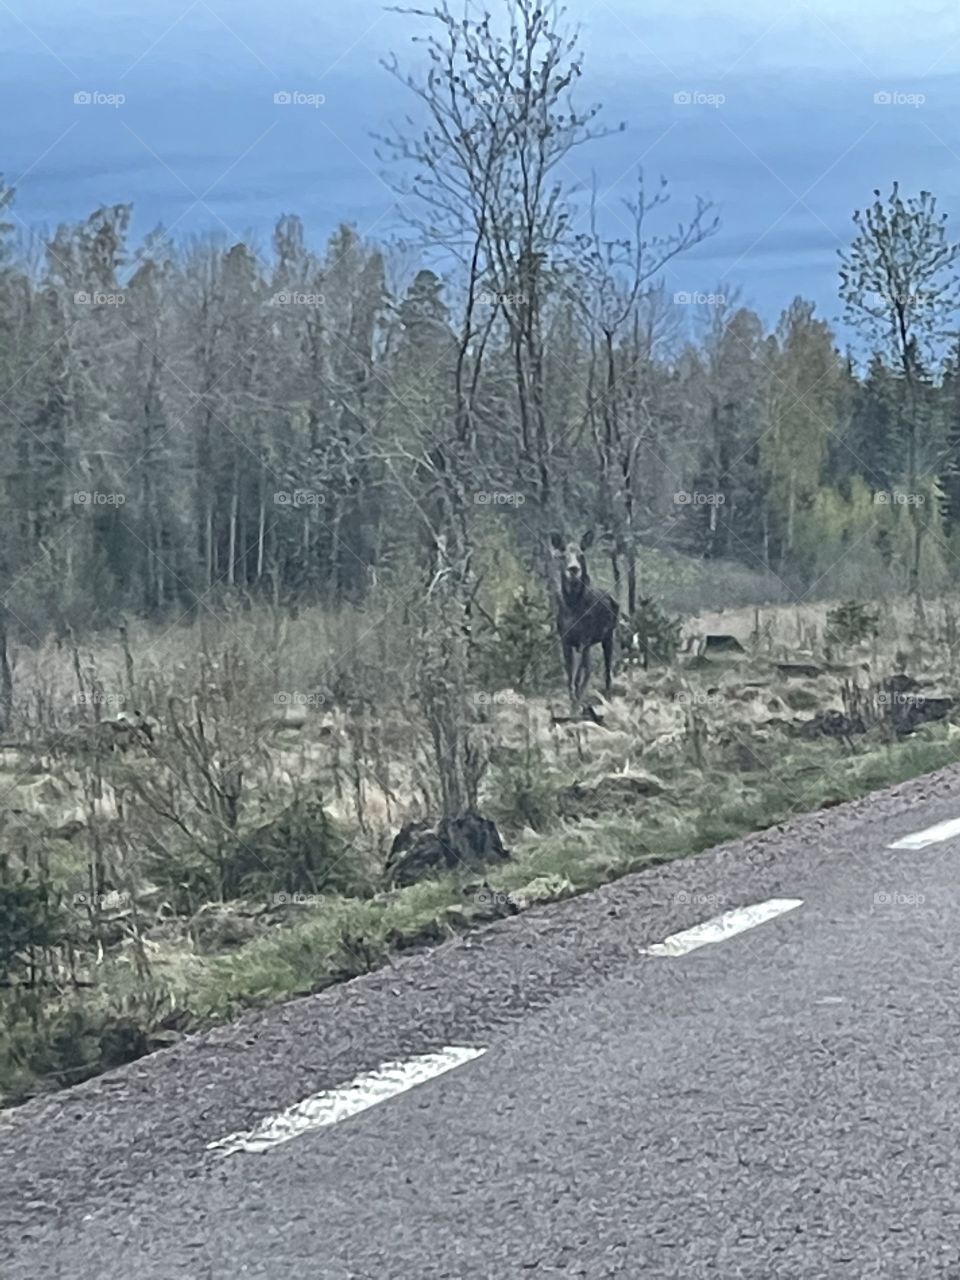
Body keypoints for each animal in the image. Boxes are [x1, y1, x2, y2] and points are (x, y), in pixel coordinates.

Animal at [550, 530, 619, 702]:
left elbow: (578, 675)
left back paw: (607, 695)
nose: (573, 569)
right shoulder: (565, 639)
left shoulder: (585, 639)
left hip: (608, 636)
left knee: (606, 668)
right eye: (563, 555)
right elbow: (570, 675)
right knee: (589, 667)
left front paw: (577, 697)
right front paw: (572, 698)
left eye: (581, 555)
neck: (574, 607)